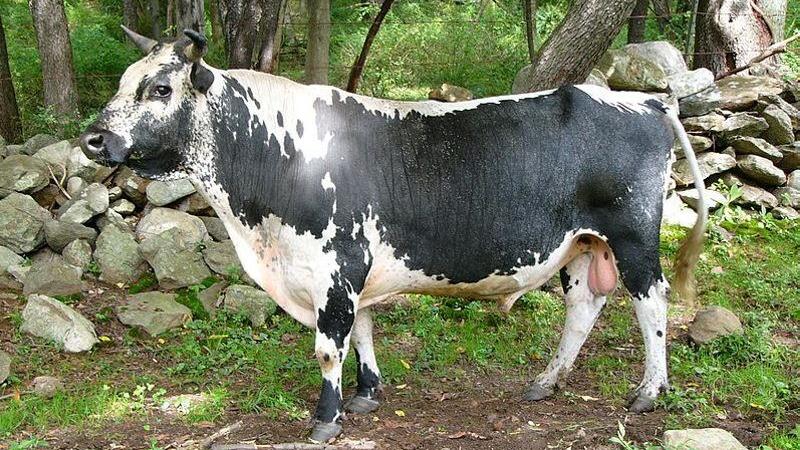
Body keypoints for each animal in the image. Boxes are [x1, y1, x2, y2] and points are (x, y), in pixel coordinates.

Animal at [80, 28, 708, 442]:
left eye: (160, 89)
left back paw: (649, 390)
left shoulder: (336, 263)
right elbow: (363, 331)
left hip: (632, 237)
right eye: (124, 83)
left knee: (650, 303)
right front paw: (366, 396)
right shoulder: (347, 273)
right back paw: (546, 382)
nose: (93, 140)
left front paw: (326, 418)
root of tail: (646, 99)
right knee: (583, 308)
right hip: (582, 243)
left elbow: (329, 345)